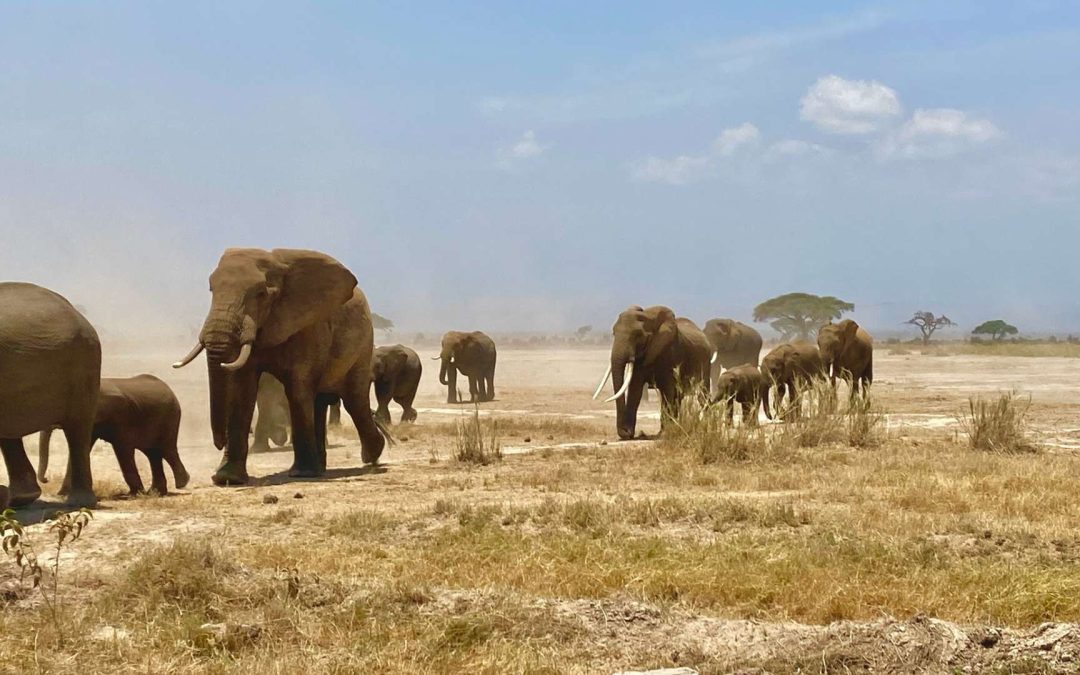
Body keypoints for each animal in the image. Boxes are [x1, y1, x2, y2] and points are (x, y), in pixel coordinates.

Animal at [38, 373, 189, 494]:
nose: (46, 479)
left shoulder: (121, 417)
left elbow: (123, 449)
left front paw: (135, 494)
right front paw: (62, 494)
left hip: (170, 417)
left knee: (166, 450)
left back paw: (181, 484)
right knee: (153, 453)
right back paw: (156, 492)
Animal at [172, 247, 384, 483]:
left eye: (260, 294)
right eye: (211, 289)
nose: (219, 443)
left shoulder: (308, 325)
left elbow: (298, 389)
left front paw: (302, 474)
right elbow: (242, 390)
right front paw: (227, 479)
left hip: (364, 344)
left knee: (354, 399)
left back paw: (371, 456)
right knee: (320, 401)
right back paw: (322, 467)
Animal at [596, 306, 712, 442]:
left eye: (638, 335)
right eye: (614, 333)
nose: (625, 431)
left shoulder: (670, 353)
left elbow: (668, 391)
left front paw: (665, 434)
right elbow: (635, 391)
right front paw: (630, 434)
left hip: (705, 362)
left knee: (702, 395)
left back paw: (705, 428)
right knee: (679, 397)